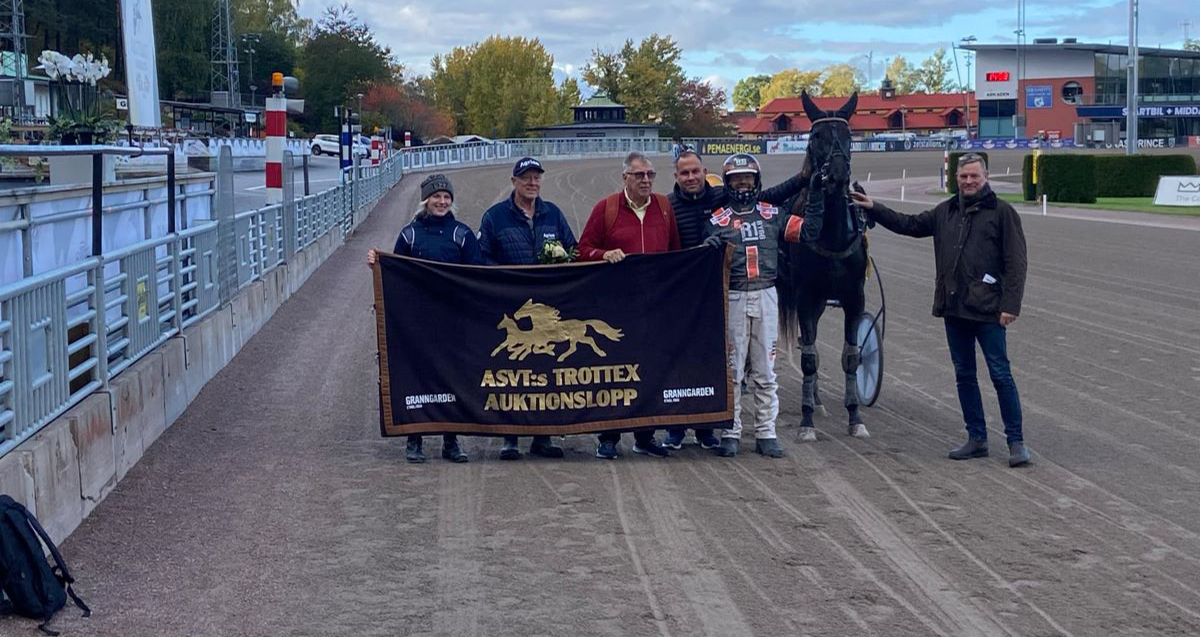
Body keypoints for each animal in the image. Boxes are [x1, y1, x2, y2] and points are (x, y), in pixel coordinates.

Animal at [777, 92, 873, 441]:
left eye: (849, 134)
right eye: (816, 135)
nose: (838, 174)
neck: (832, 236)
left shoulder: (854, 298)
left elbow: (851, 357)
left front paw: (855, 417)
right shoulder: (805, 297)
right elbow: (808, 359)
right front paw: (806, 423)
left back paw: (817, 400)